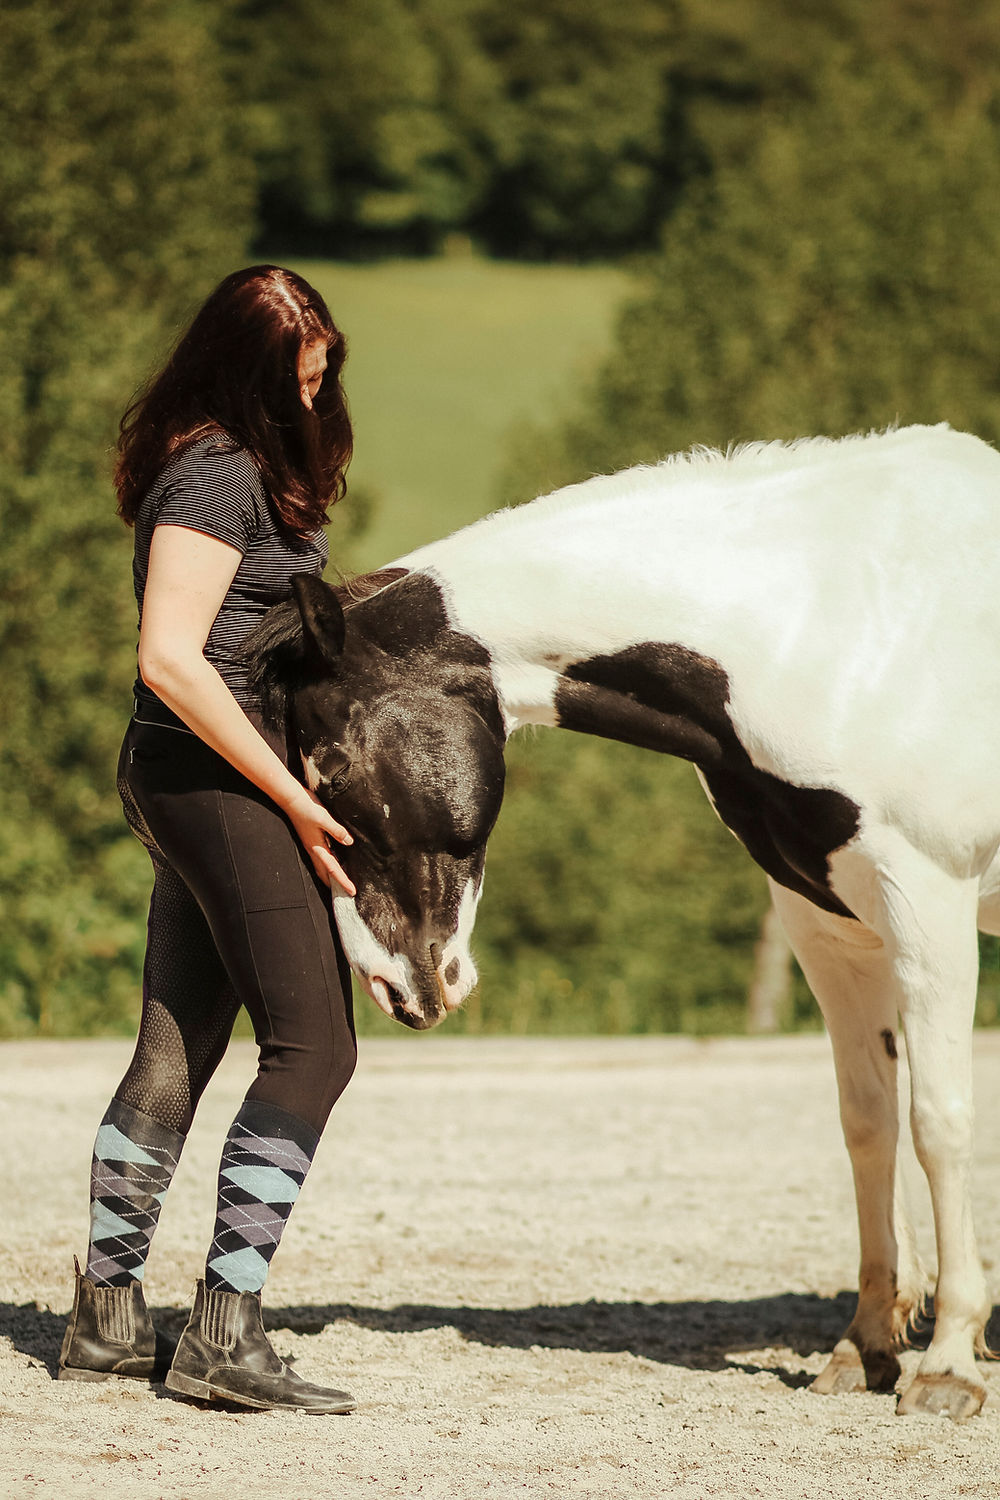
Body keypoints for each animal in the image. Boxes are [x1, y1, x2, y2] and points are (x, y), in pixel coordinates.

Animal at [246, 422, 1000, 1421]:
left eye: (325, 766)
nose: (395, 985)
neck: (836, 621)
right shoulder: (827, 923)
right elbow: (868, 1122)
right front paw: (866, 1345)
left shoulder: (929, 904)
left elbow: (940, 1124)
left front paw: (949, 1361)